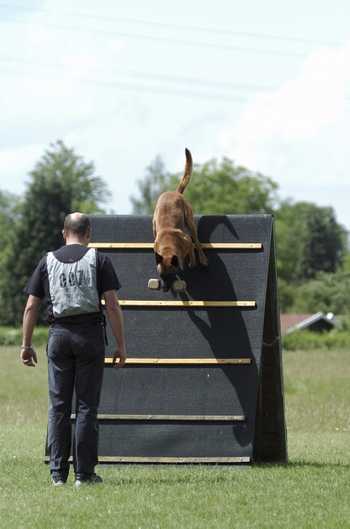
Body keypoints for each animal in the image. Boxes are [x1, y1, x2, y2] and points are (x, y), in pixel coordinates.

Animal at [152, 148, 208, 282]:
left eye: (171, 275)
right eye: (161, 276)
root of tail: (175, 192)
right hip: (154, 224)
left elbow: (192, 251)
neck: (168, 245)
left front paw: (191, 262)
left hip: (190, 221)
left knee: (197, 241)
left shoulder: (187, 241)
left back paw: (202, 258)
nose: (165, 286)